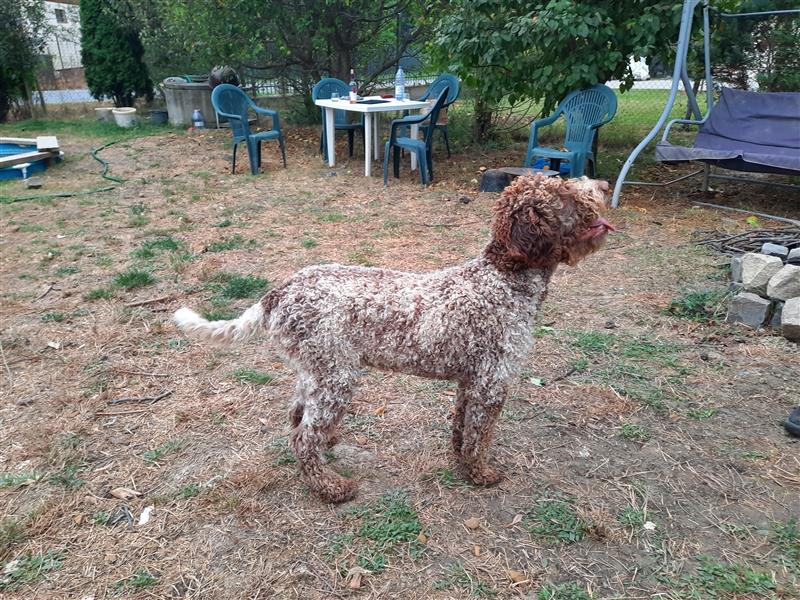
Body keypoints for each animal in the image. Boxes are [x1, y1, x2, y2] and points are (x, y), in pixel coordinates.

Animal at [175, 173, 612, 502]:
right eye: (565, 194)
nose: (605, 185)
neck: (503, 278)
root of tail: (279, 291)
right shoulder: (492, 381)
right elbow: (479, 436)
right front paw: (480, 474)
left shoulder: (470, 380)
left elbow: (462, 428)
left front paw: (459, 462)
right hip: (337, 375)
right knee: (303, 438)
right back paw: (331, 487)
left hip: (315, 370)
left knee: (297, 419)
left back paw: (327, 449)